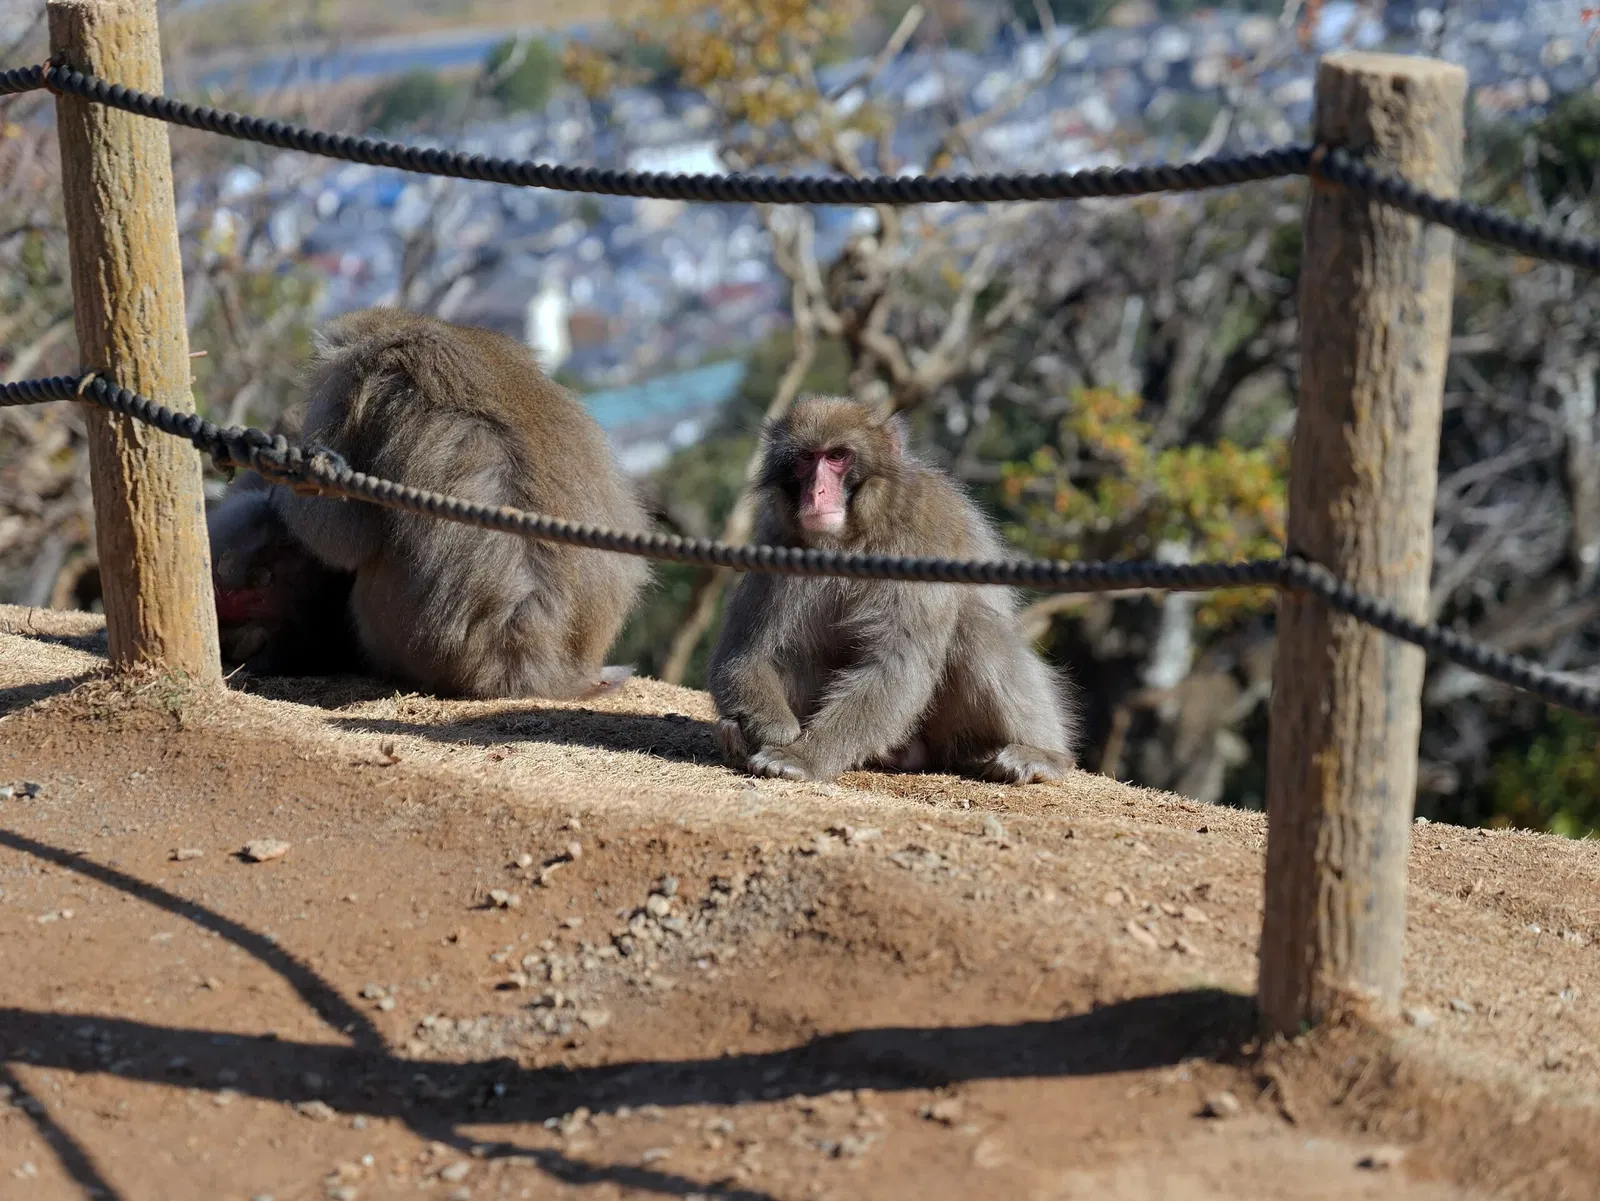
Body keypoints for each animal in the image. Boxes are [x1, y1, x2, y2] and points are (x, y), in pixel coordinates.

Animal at [707, 395, 1080, 785]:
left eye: (837, 456)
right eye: (807, 458)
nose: (817, 492)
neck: (852, 537)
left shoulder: (923, 537)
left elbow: (897, 663)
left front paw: (803, 756)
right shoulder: (776, 539)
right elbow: (745, 653)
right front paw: (769, 727)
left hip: (953, 735)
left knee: (975, 625)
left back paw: (1044, 754)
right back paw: (732, 734)